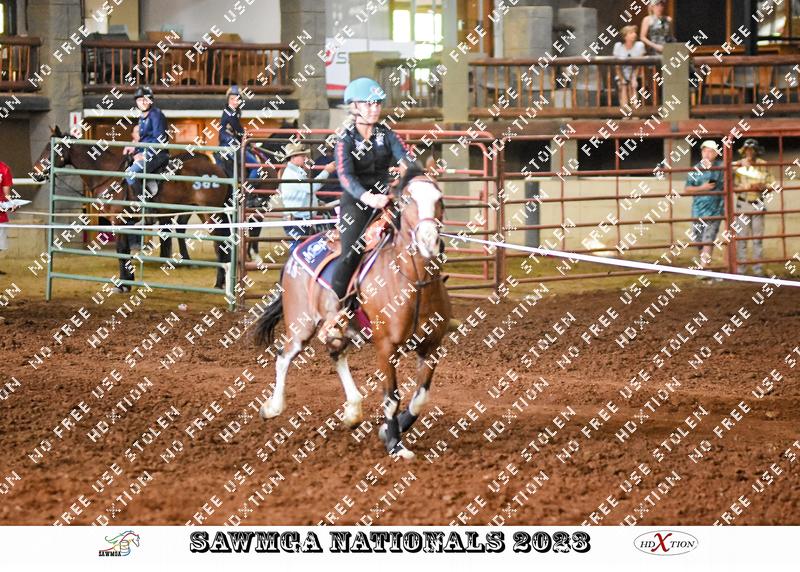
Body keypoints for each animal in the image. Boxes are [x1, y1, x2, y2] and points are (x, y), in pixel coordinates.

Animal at [31, 126, 233, 290]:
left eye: (52, 148)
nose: (35, 173)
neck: (108, 175)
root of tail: (218, 170)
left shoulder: (118, 220)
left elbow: (121, 249)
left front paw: (122, 285)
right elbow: (126, 250)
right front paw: (128, 280)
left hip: (210, 214)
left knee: (219, 245)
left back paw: (218, 283)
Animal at [252, 173, 452, 459]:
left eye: (439, 199)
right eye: (407, 200)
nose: (428, 239)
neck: (413, 283)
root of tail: (299, 249)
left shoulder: (432, 346)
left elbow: (420, 397)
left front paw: (390, 430)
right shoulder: (386, 348)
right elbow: (391, 398)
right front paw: (395, 444)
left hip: (338, 329)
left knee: (336, 354)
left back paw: (353, 410)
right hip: (301, 325)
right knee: (283, 358)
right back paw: (273, 407)